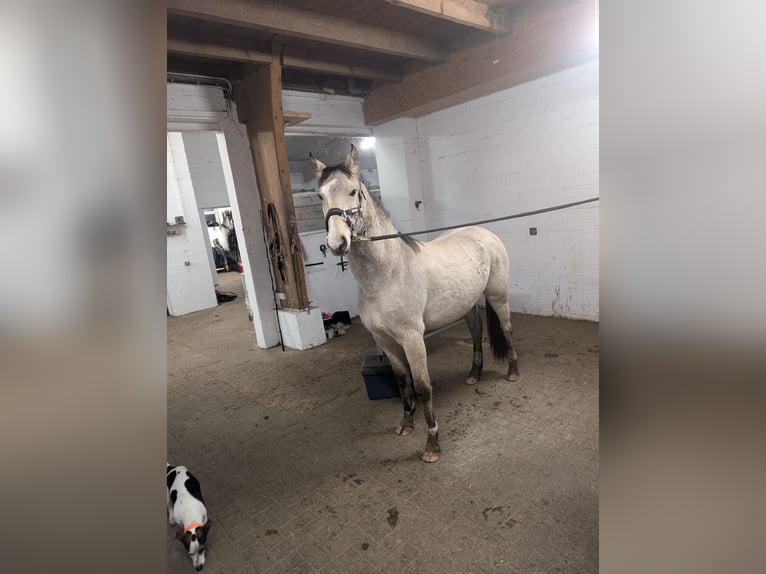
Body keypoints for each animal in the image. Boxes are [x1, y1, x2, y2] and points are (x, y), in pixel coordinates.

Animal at [308, 145, 520, 464]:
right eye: (320, 196)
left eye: (353, 191)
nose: (337, 243)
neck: (387, 274)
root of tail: (485, 234)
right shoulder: (386, 340)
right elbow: (402, 381)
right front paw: (405, 424)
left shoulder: (412, 339)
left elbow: (422, 387)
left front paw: (432, 445)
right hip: (467, 305)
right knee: (476, 332)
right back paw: (473, 375)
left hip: (498, 296)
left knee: (506, 329)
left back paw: (513, 372)